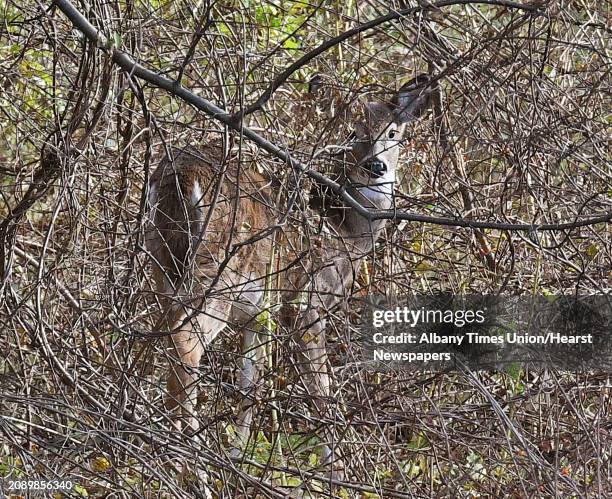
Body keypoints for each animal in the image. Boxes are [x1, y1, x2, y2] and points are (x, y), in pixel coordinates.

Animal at [146, 75, 432, 476]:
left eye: (393, 132)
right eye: (352, 132)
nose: (375, 166)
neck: (345, 235)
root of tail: (183, 177)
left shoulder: (256, 313)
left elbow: (249, 383)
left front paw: (241, 459)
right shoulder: (304, 303)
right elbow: (320, 390)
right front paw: (335, 472)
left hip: (163, 261)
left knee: (165, 334)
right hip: (218, 271)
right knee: (185, 341)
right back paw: (187, 460)